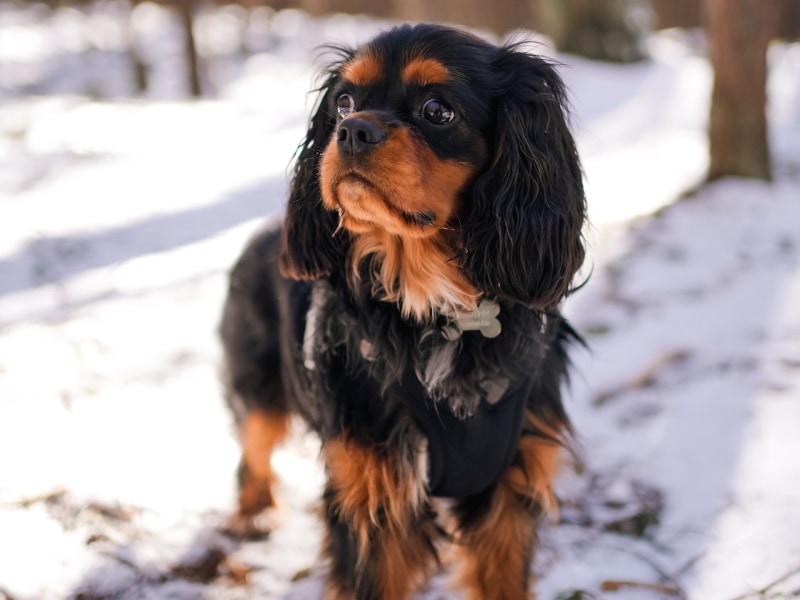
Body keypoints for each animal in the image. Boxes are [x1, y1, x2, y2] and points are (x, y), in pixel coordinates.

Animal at [222, 23, 584, 600]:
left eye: (438, 110)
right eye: (344, 102)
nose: (352, 131)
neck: (437, 306)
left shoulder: (509, 493)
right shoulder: (373, 497)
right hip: (258, 389)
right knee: (252, 449)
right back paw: (254, 515)